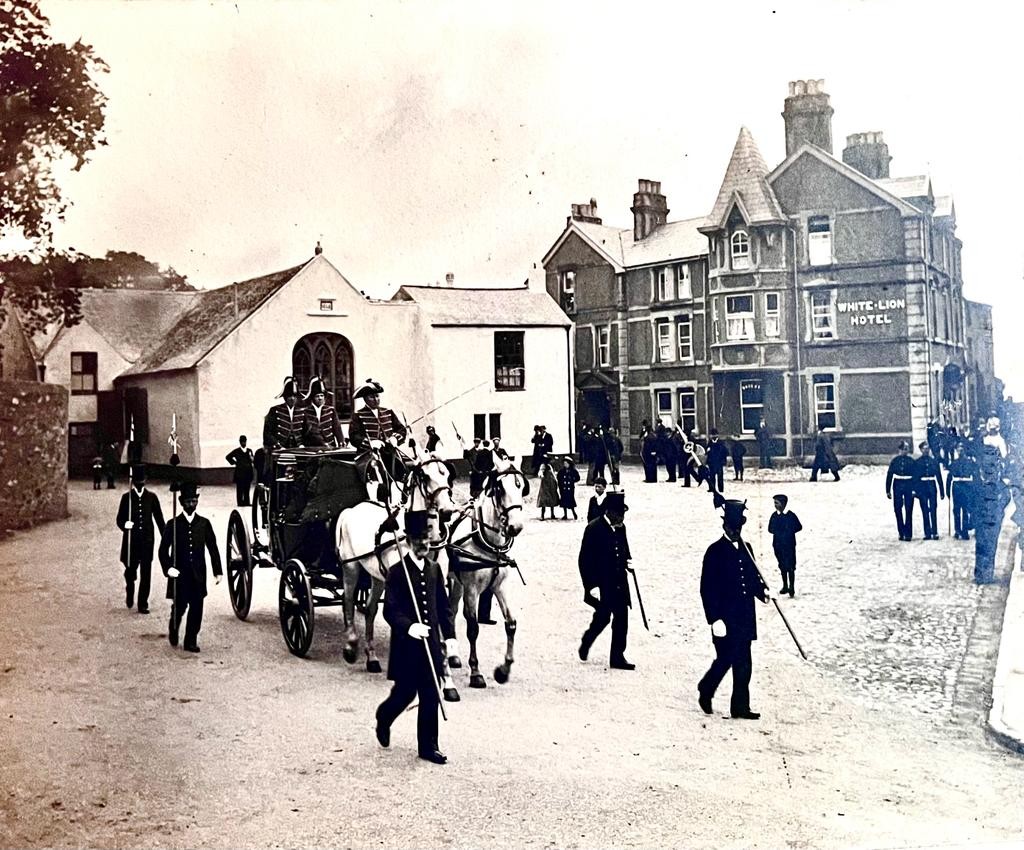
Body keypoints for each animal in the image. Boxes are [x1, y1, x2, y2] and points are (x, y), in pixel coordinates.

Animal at [333, 448, 454, 675]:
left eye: (447, 474)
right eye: (426, 476)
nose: (447, 511)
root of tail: (350, 510)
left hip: (377, 576)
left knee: (370, 609)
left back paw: (371, 656)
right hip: (351, 567)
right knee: (348, 600)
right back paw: (351, 645)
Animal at [444, 458, 528, 692]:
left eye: (521, 486)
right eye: (500, 488)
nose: (515, 526)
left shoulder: (500, 586)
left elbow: (511, 624)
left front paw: (504, 670)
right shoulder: (472, 589)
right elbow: (473, 628)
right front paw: (476, 672)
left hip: (456, 581)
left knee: (451, 611)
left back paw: (452, 655)